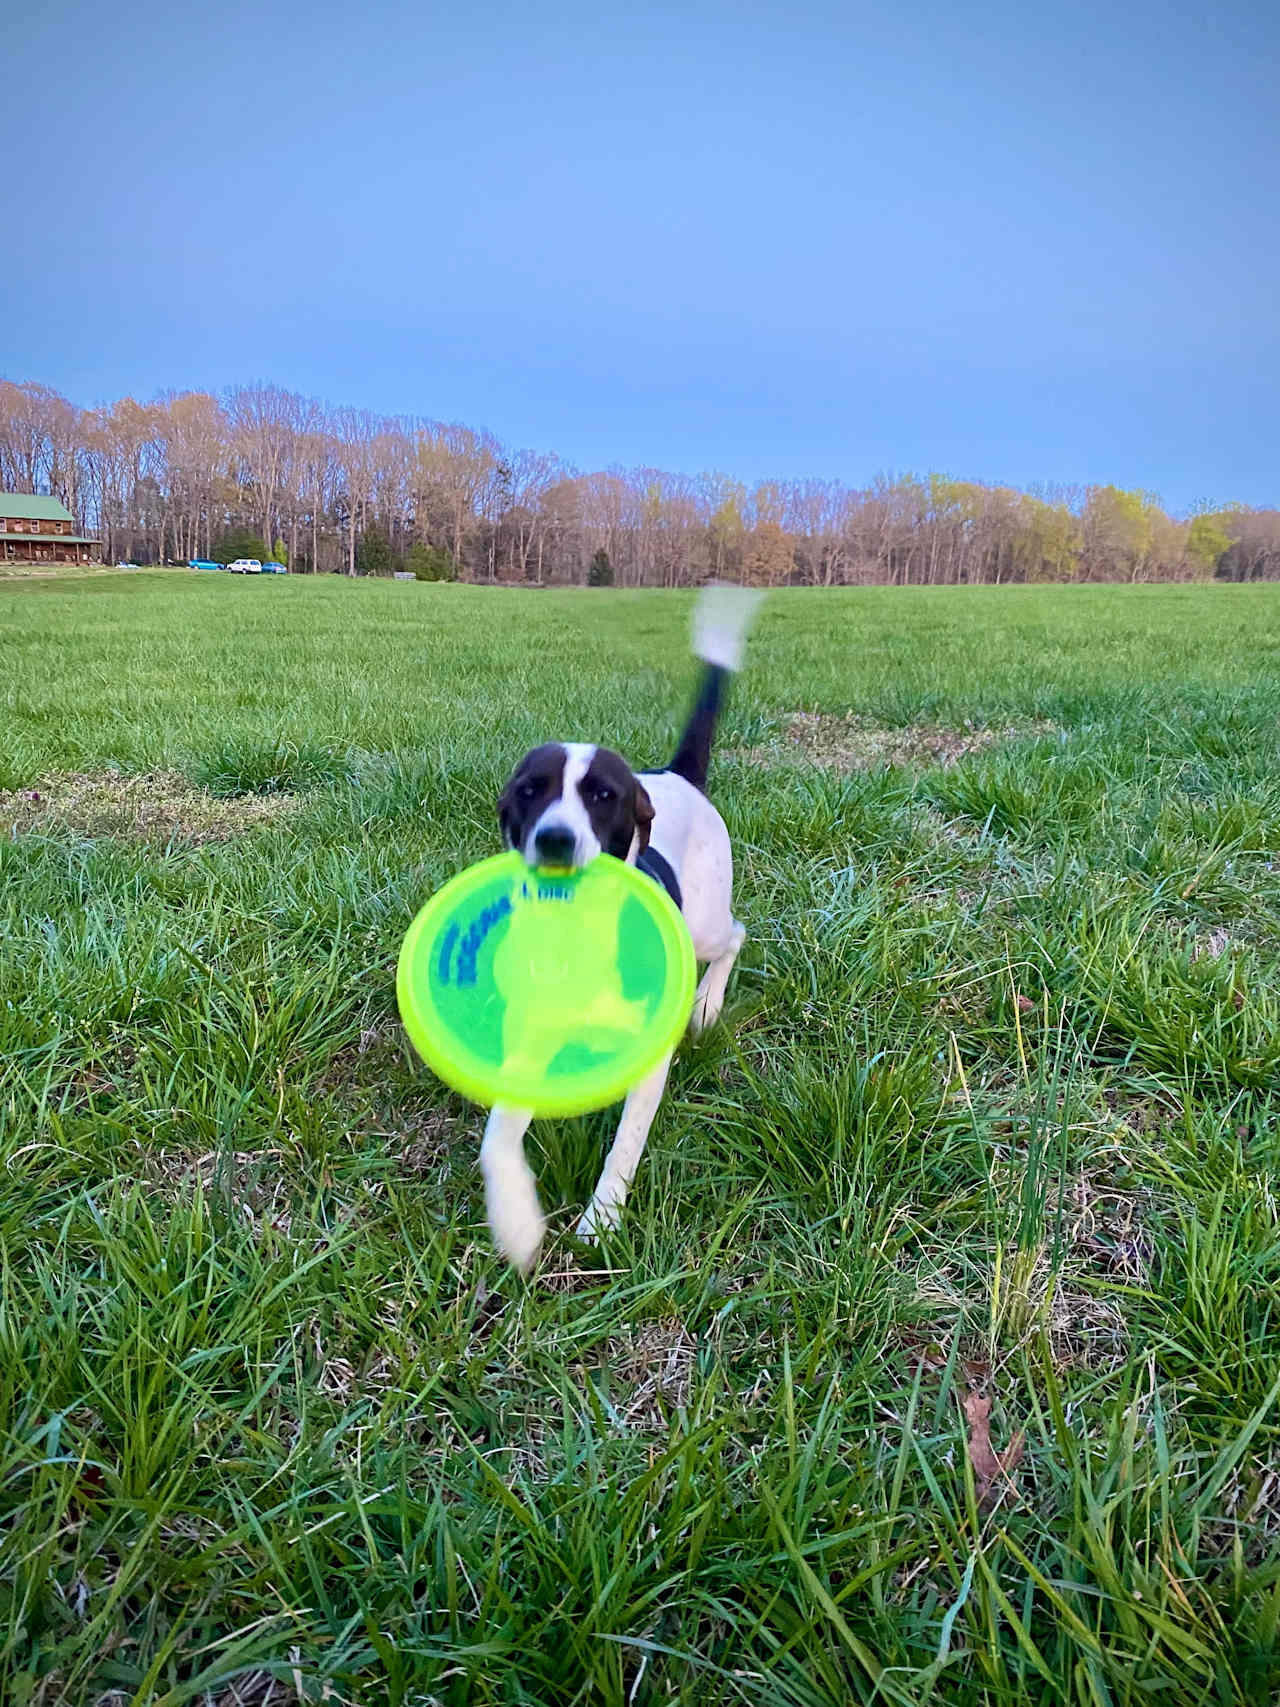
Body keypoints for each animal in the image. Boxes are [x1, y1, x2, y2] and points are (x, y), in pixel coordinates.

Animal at [481, 587, 761, 1270]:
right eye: (528, 791)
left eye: (603, 796)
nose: (556, 841)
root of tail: (676, 775)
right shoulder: (530, 1040)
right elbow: (499, 1136)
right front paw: (517, 1221)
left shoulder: (649, 1059)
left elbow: (626, 1143)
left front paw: (602, 1218)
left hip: (708, 922)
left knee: (734, 936)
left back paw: (708, 1004)